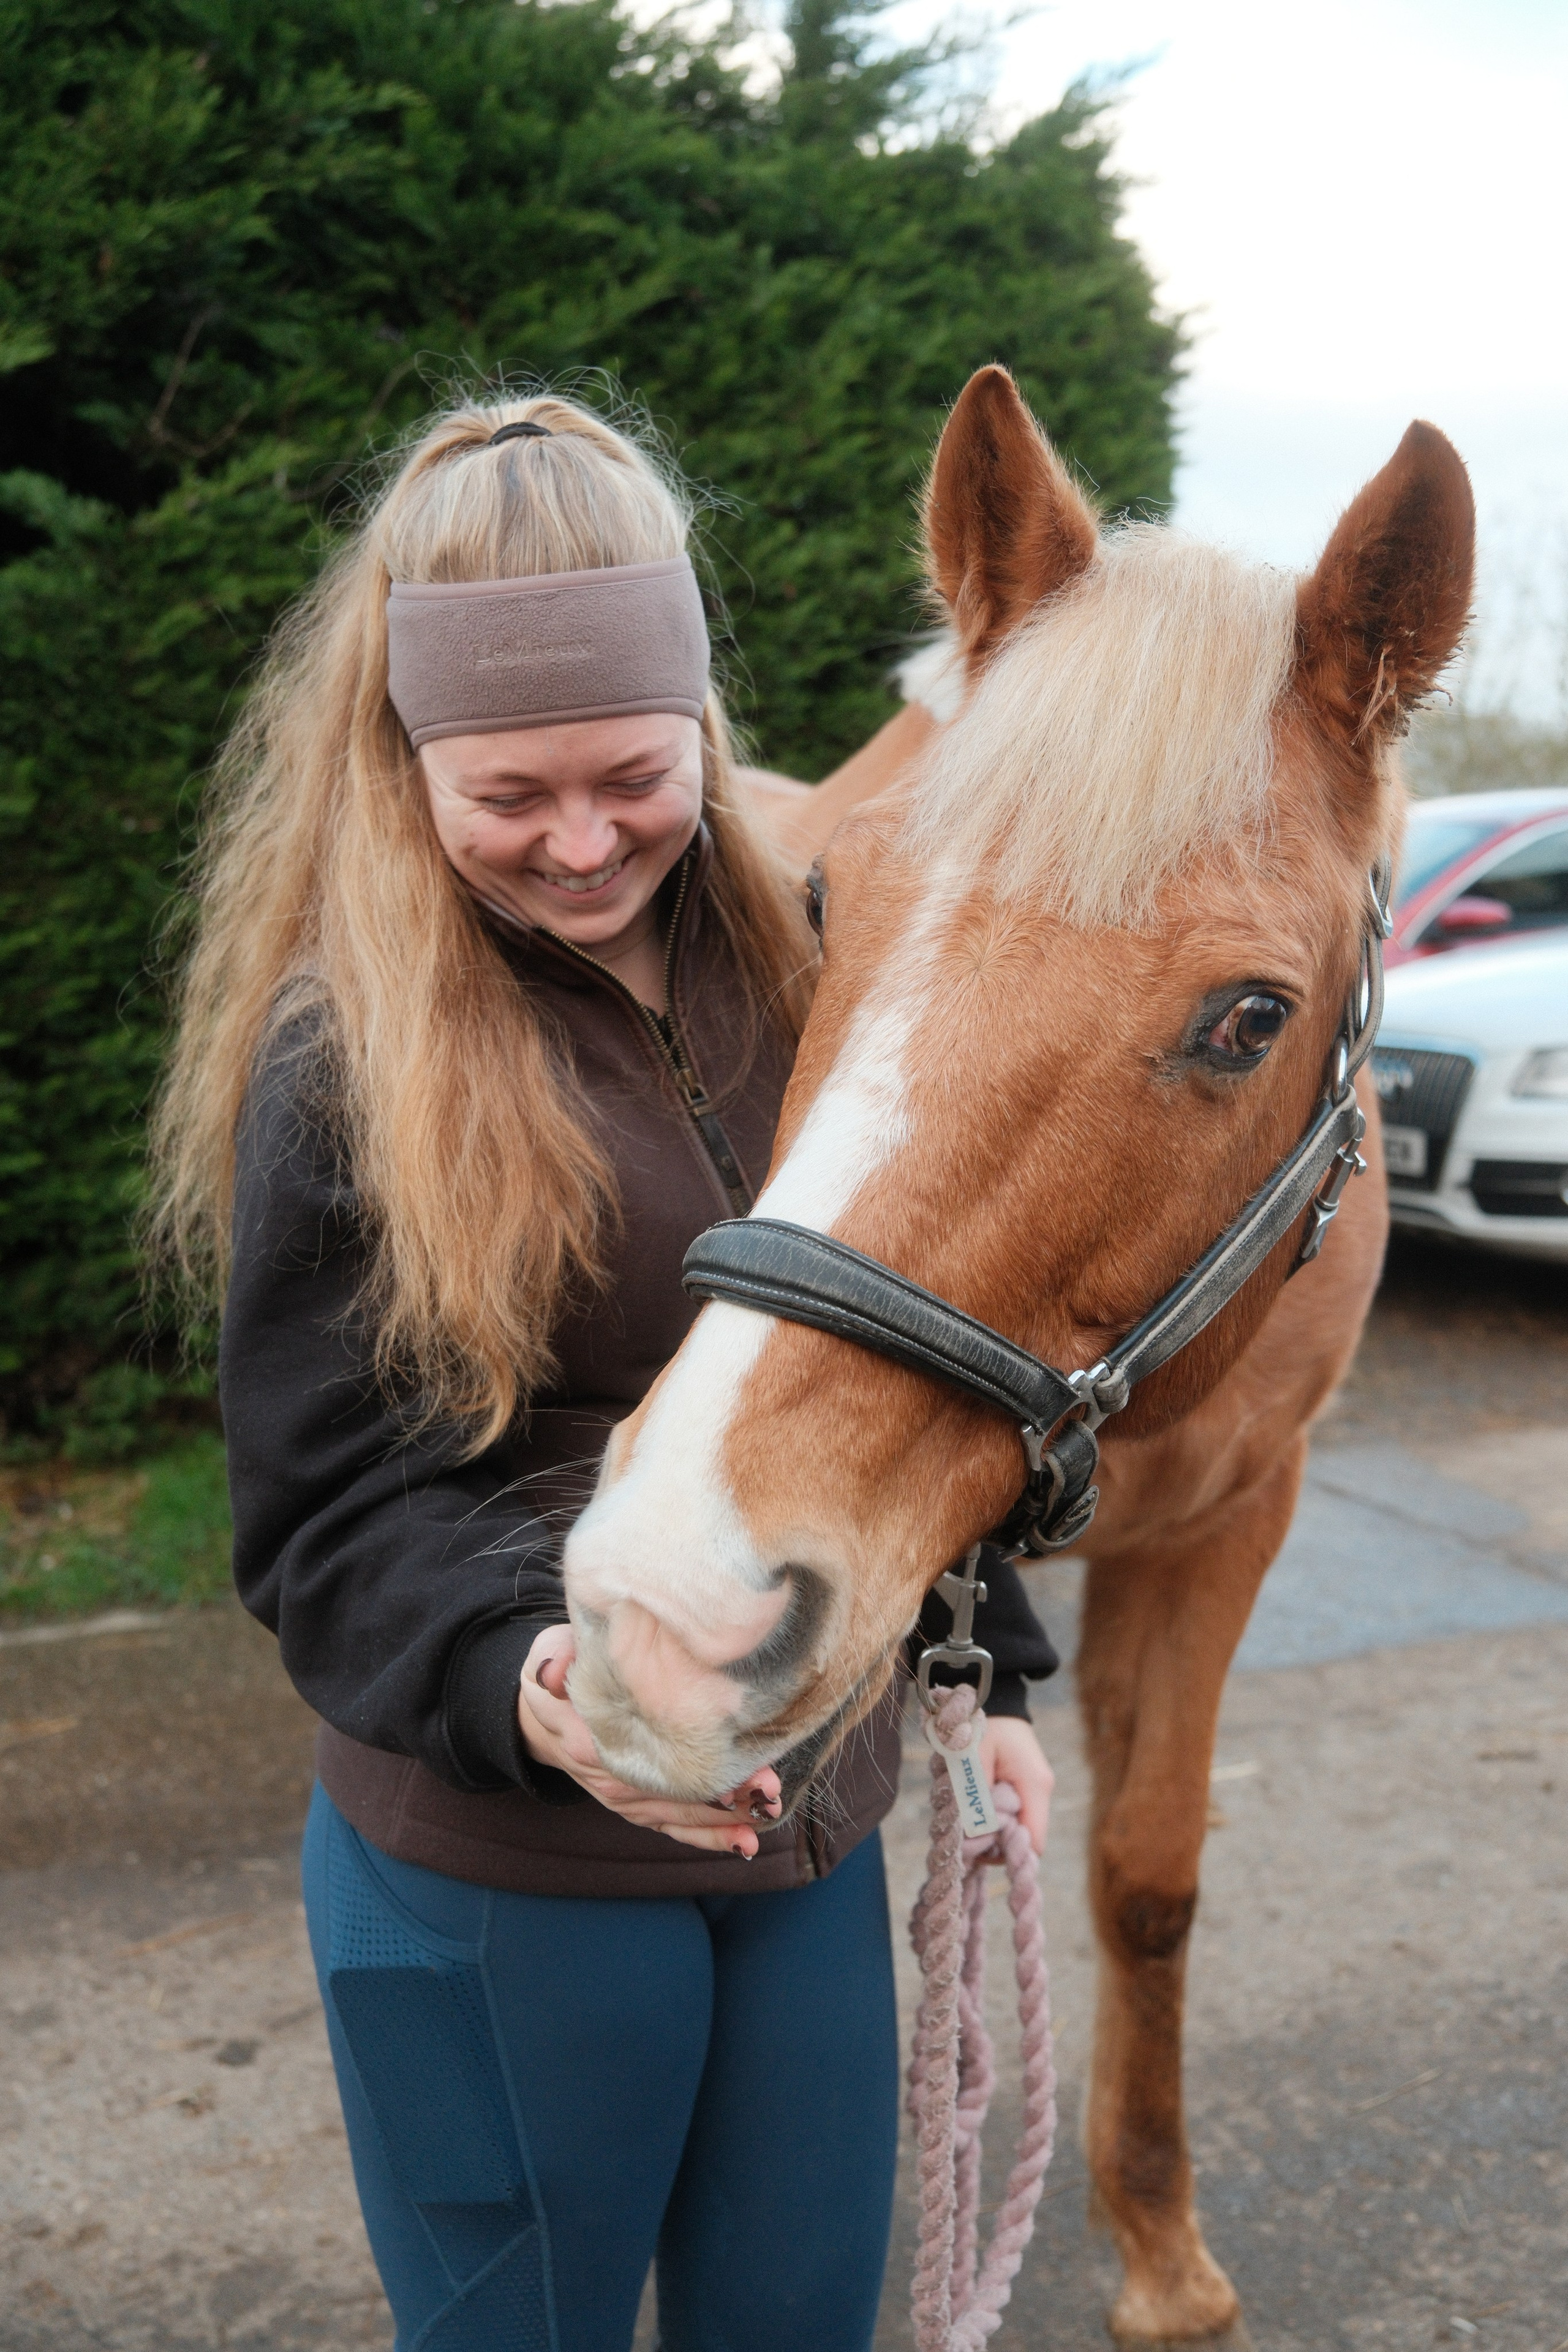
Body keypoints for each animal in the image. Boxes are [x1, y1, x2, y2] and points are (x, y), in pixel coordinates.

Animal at [561, 365, 1474, 2343]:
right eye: (823, 903)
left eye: (1248, 1018)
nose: (669, 1602)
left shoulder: (1228, 1519)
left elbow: (1144, 1877)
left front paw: (1157, 2244)